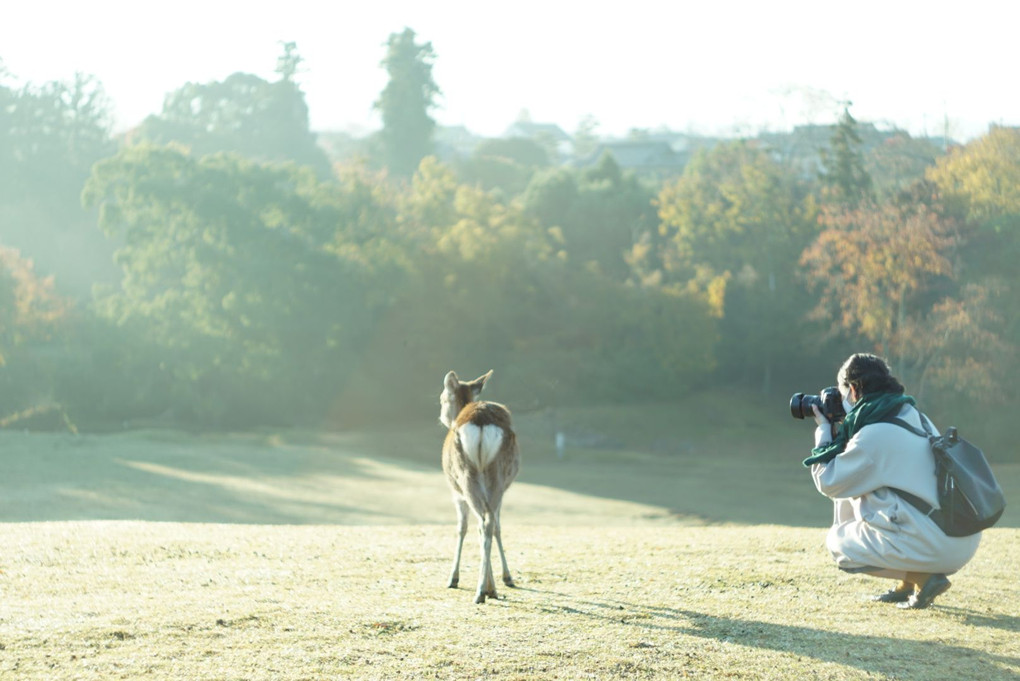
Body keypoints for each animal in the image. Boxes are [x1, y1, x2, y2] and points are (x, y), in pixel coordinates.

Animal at [436, 369, 518, 603]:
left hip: (466, 476)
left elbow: (462, 528)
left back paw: (481, 591)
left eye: (442, 398)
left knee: (482, 523)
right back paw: (488, 589)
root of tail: (480, 422)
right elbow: (498, 527)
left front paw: (453, 579)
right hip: (497, 476)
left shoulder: (455, 492)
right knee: (489, 523)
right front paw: (506, 578)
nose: (440, 416)